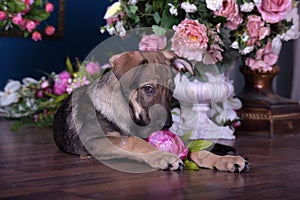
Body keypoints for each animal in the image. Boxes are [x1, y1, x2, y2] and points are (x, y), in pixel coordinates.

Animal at [52, 50, 250, 173]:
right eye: (148, 89)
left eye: (171, 91)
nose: (167, 125)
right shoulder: (96, 140)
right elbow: (134, 142)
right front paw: (165, 157)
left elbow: (193, 150)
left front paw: (226, 161)